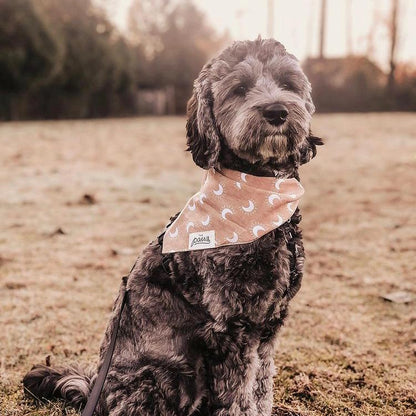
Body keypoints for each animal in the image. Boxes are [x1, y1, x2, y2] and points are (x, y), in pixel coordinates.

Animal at [22, 37, 322, 414]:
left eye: (287, 83)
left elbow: (262, 387)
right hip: (169, 374)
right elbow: (240, 399)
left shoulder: (267, 327)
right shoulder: (233, 330)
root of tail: (97, 394)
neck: (259, 192)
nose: (277, 111)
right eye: (239, 89)